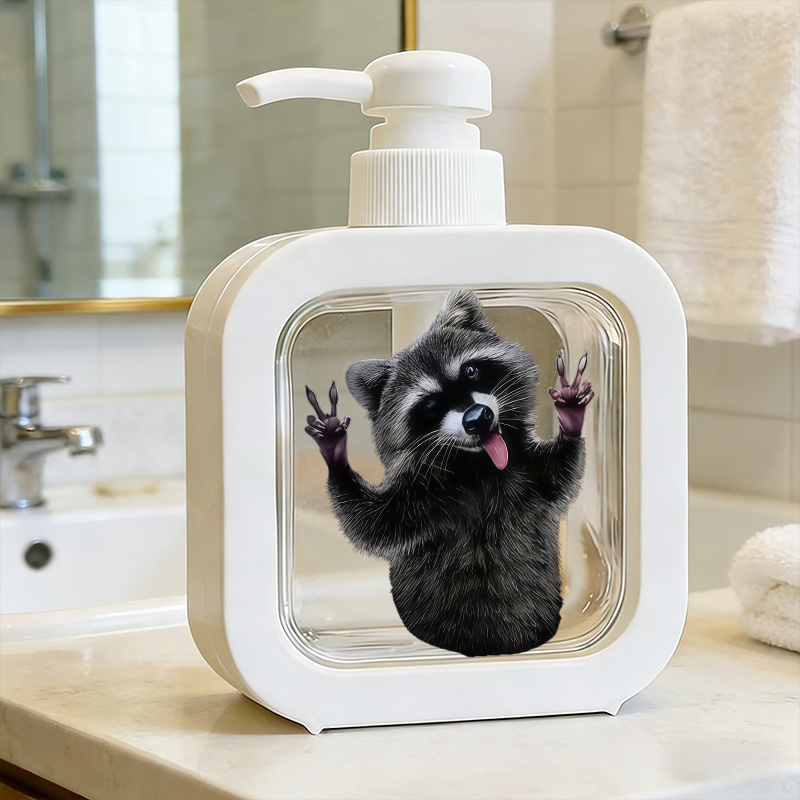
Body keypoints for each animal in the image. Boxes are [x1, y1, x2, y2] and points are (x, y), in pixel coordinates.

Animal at [304, 290, 594, 657]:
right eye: (429, 404)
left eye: (470, 370)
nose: (479, 418)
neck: (480, 466)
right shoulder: (419, 495)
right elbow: (374, 524)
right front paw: (337, 459)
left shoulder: (528, 473)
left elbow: (558, 474)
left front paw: (570, 419)